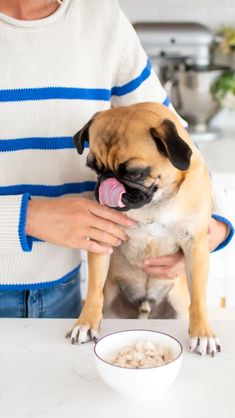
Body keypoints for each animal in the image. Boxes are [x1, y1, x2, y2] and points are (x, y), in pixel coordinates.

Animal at [67, 101, 220, 356]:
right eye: (94, 168)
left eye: (135, 173)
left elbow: (198, 298)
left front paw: (203, 333)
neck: (154, 204)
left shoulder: (196, 245)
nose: (107, 182)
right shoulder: (103, 239)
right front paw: (86, 323)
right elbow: (93, 291)